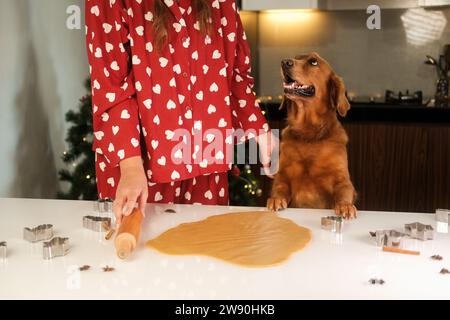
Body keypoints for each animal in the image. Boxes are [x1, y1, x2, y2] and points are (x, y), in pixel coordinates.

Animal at [266, 52, 356, 219]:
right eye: (296, 57)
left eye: (313, 62)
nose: (284, 62)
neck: (309, 134)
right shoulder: (283, 176)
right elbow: (279, 188)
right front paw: (276, 199)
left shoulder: (342, 179)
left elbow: (344, 191)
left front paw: (345, 206)